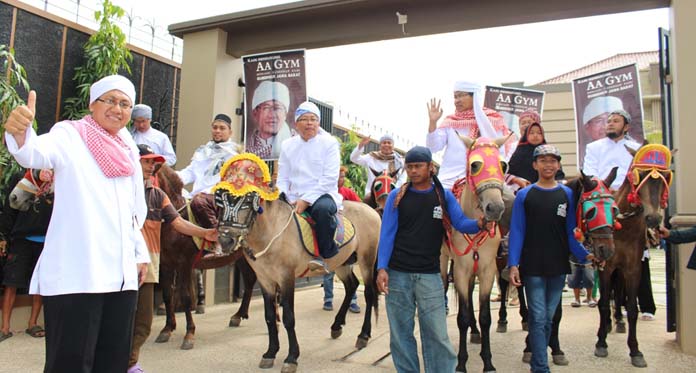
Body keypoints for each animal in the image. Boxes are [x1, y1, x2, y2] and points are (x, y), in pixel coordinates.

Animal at [154, 163, 258, 348]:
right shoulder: (166, 264)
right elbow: (167, 295)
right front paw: (167, 329)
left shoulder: (184, 264)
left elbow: (186, 297)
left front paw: (189, 334)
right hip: (241, 256)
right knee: (250, 280)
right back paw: (238, 316)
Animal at [216, 153, 384, 370]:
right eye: (219, 200)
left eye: (247, 201)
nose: (225, 240)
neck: (271, 231)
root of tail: (371, 210)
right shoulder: (265, 279)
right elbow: (270, 317)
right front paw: (270, 353)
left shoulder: (286, 278)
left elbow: (288, 317)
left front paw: (291, 357)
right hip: (342, 263)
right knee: (352, 285)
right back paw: (336, 326)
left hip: (366, 259)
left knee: (369, 292)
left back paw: (363, 335)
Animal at [444, 134, 512, 372]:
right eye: (475, 164)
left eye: (503, 165)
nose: (495, 208)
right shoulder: (461, 270)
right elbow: (462, 317)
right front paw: (461, 363)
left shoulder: (487, 270)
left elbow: (484, 317)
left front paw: (488, 362)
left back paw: (475, 333)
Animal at [592, 143, 676, 366]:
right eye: (639, 175)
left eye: (666, 176)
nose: (653, 218)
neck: (625, 227)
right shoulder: (606, 265)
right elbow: (603, 303)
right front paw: (601, 342)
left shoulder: (633, 268)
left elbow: (631, 308)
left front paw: (635, 350)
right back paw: (609, 324)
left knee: (619, 292)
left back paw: (618, 321)